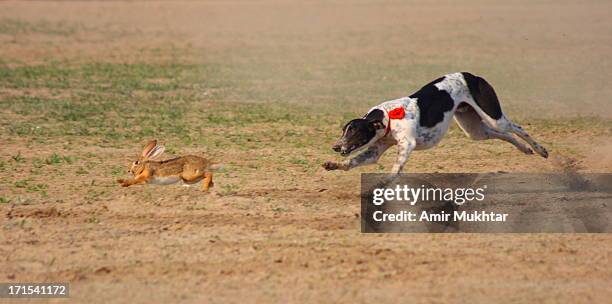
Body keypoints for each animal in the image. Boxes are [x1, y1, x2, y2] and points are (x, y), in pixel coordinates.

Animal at [326, 71, 548, 175]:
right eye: (344, 131)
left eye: (354, 132)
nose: (336, 147)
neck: (387, 117)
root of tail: (471, 75)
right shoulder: (375, 150)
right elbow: (353, 161)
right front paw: (334, 164)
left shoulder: (407, 144)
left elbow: (396, 167)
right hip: (474, 130)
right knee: (504, 135)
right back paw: (525, 149)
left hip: (494, 117)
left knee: (516, 128)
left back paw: (541, 150)